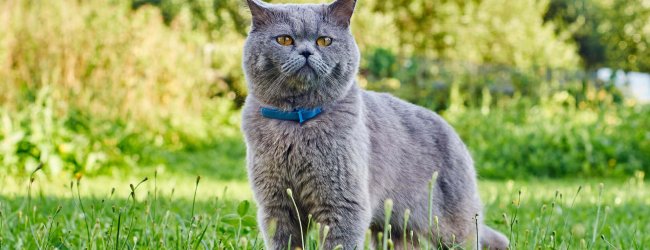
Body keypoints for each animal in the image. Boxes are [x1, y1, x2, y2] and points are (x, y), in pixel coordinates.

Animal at [240, 0, 508, 247]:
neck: (297, 122)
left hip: (450, 225)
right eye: (284, 40)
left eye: (324, 41)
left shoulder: (343, 203)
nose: (306, 52)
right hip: (395, 228)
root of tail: (454, 132)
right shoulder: (276, 205)